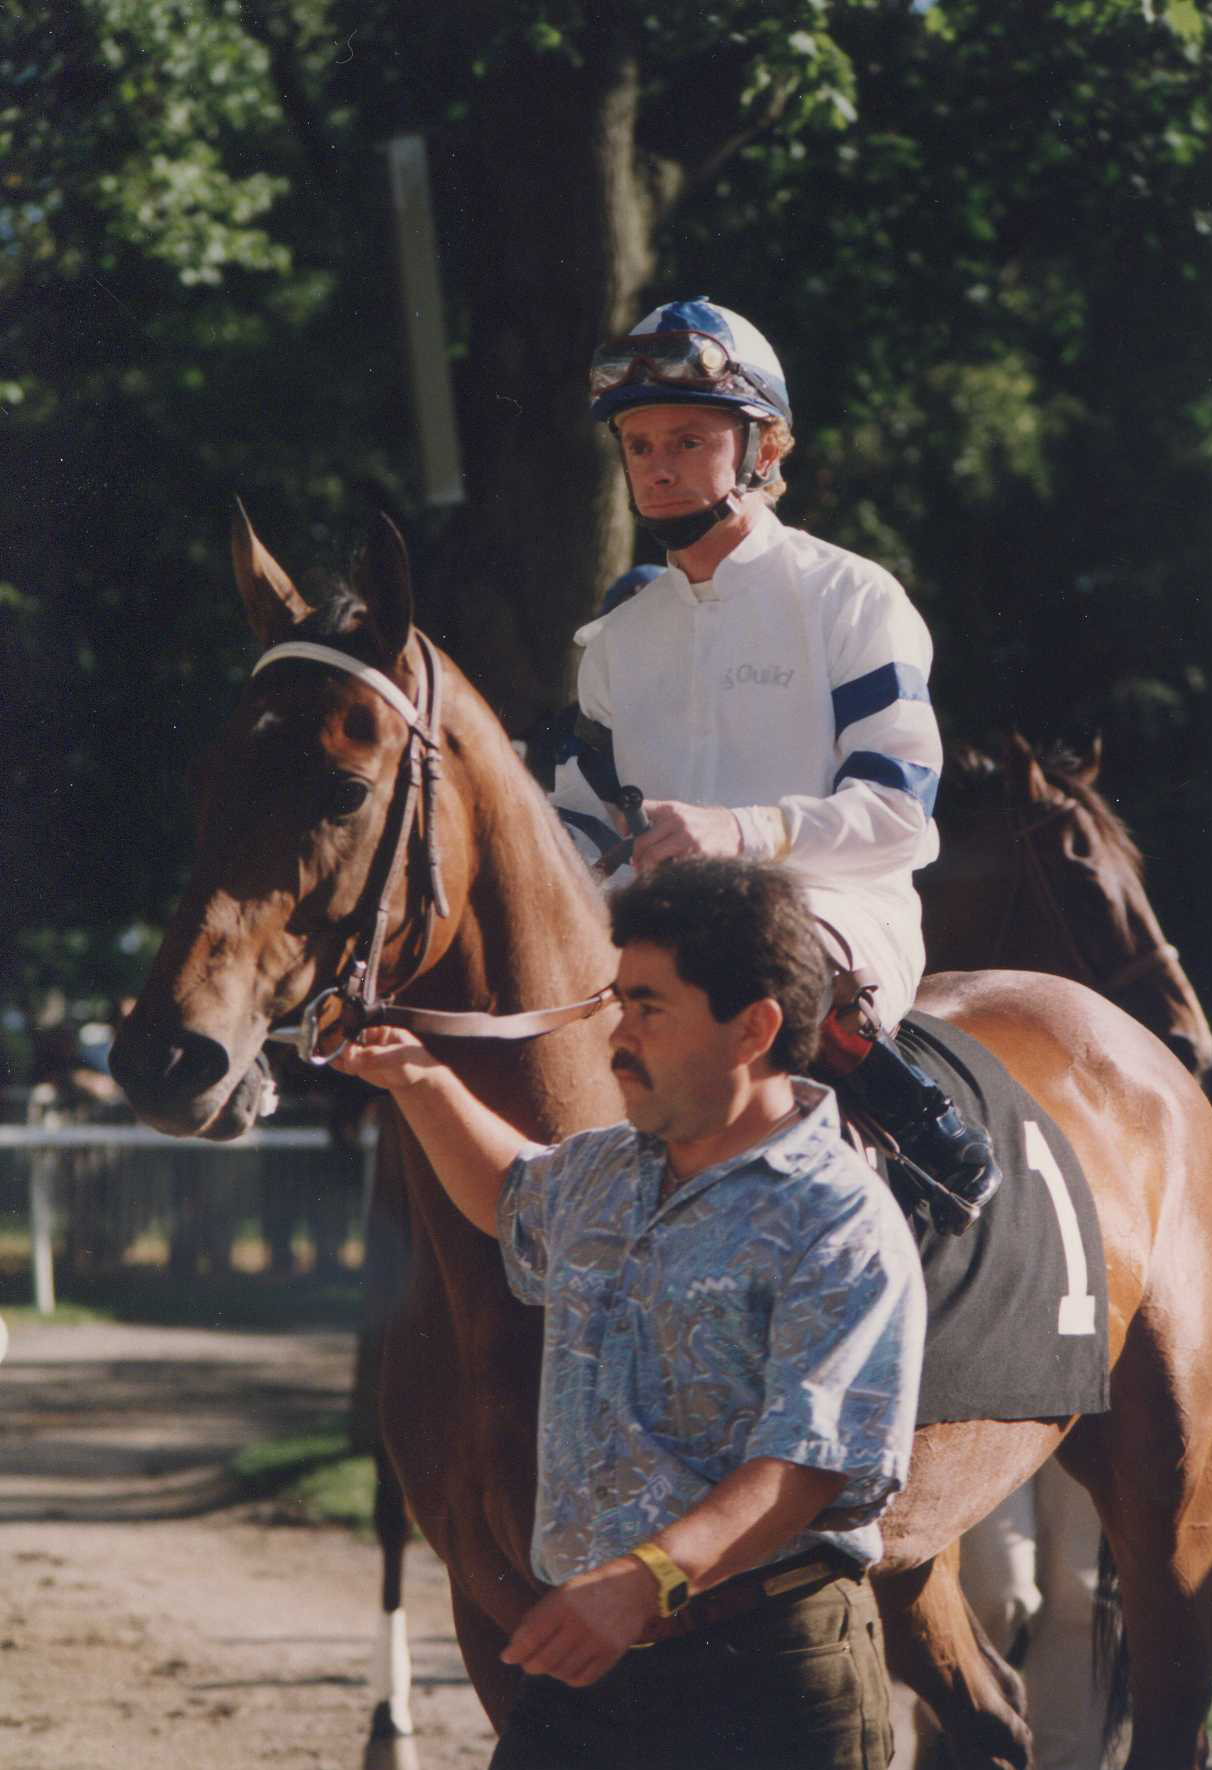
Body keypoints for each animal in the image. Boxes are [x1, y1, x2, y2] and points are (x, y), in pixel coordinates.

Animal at [108, 506, 1210, 1762]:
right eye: (207, 774)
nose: (166, 1057)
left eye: (343, 787)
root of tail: (1142, 1061)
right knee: (994, 1713)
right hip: (919, 1545)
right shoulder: (500, 1617)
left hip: (1163, 1498)